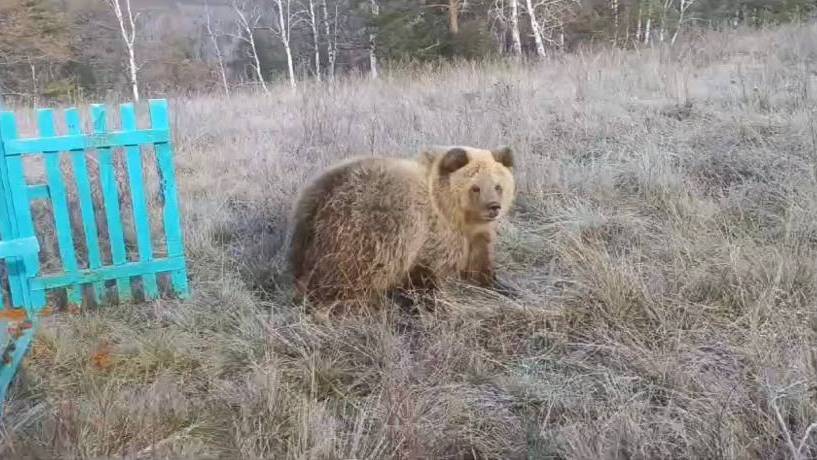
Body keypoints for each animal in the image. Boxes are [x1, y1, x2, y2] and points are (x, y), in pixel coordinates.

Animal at [290, 146, 512, 310]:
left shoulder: (474, 238)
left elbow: (479, 266)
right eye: (475, 187)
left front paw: (500, 285)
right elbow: (425, 277)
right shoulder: (429, 237)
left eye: (498, 186)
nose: (493, 207)